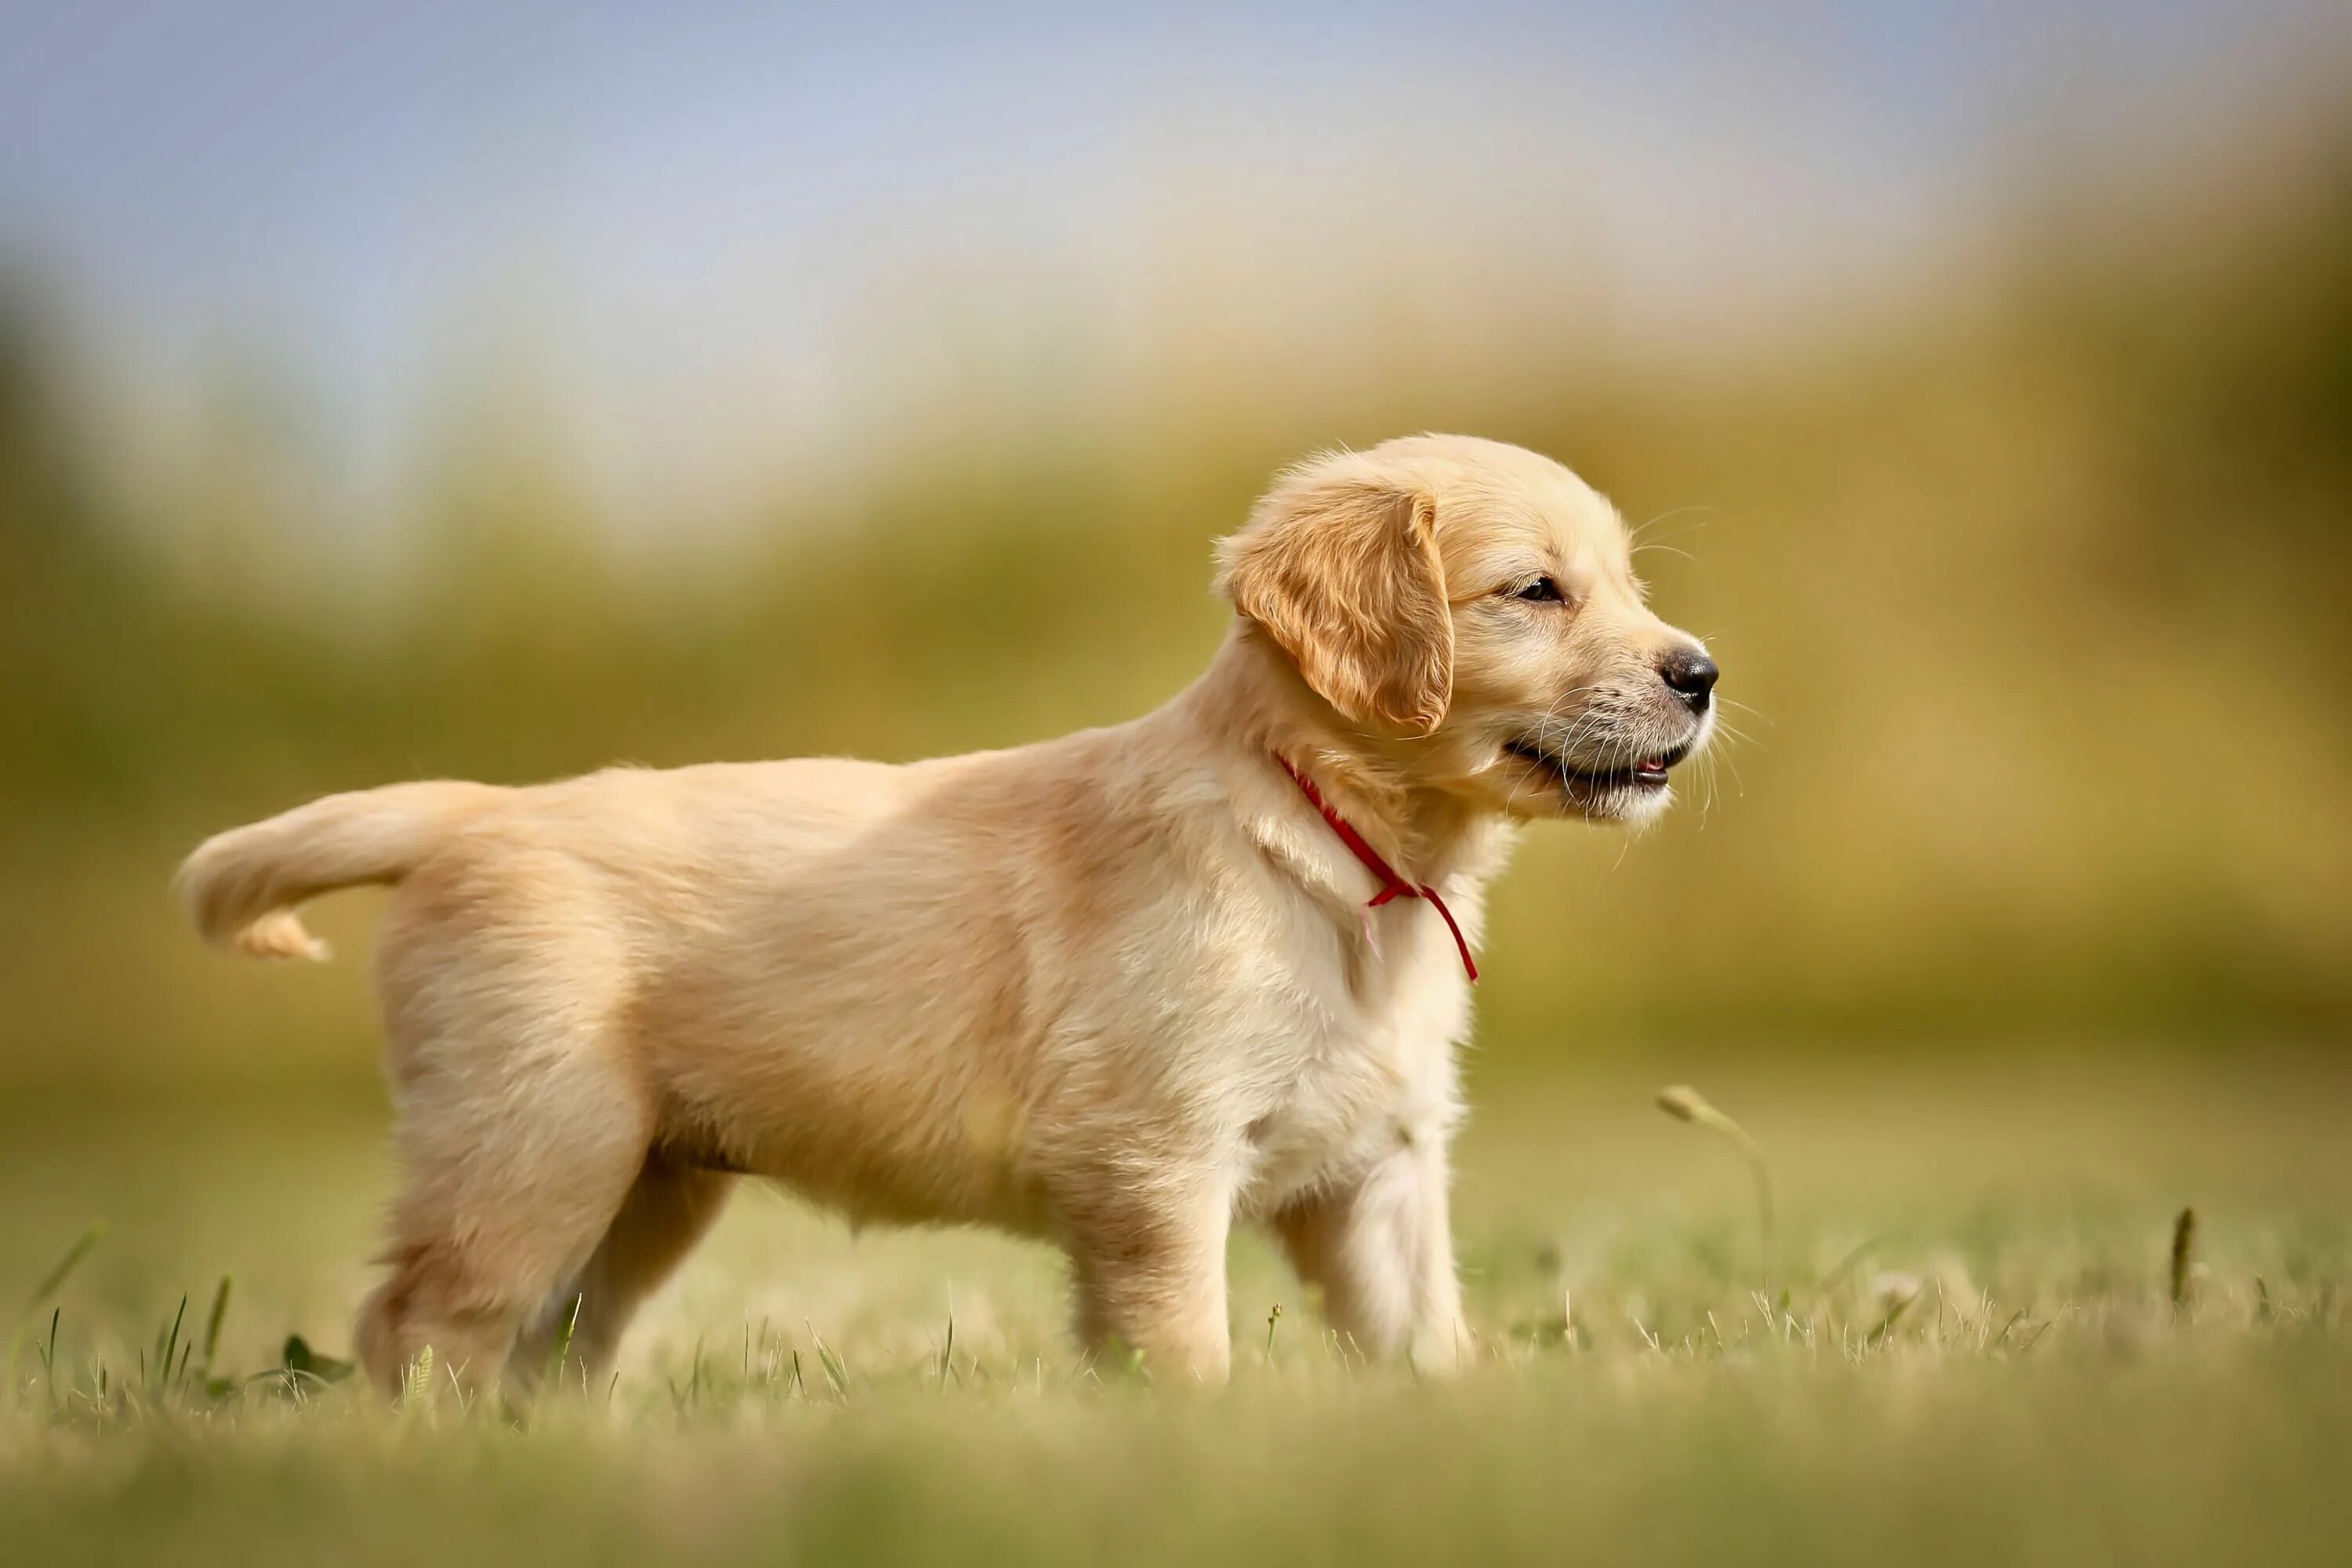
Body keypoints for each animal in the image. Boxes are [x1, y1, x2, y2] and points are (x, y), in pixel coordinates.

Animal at [179, 434, 1712, 1392]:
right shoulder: (1152, 1160)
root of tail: (469, 813)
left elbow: (1426, 1344)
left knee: (543, 1349)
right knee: (418, 1325)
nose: (1700, 672)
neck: (1338, 850)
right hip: (531, 1145)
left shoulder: (1379, 1171)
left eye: (1632, 584)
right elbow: (1185, 1348)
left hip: (639, 1186)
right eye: (1535, 591)